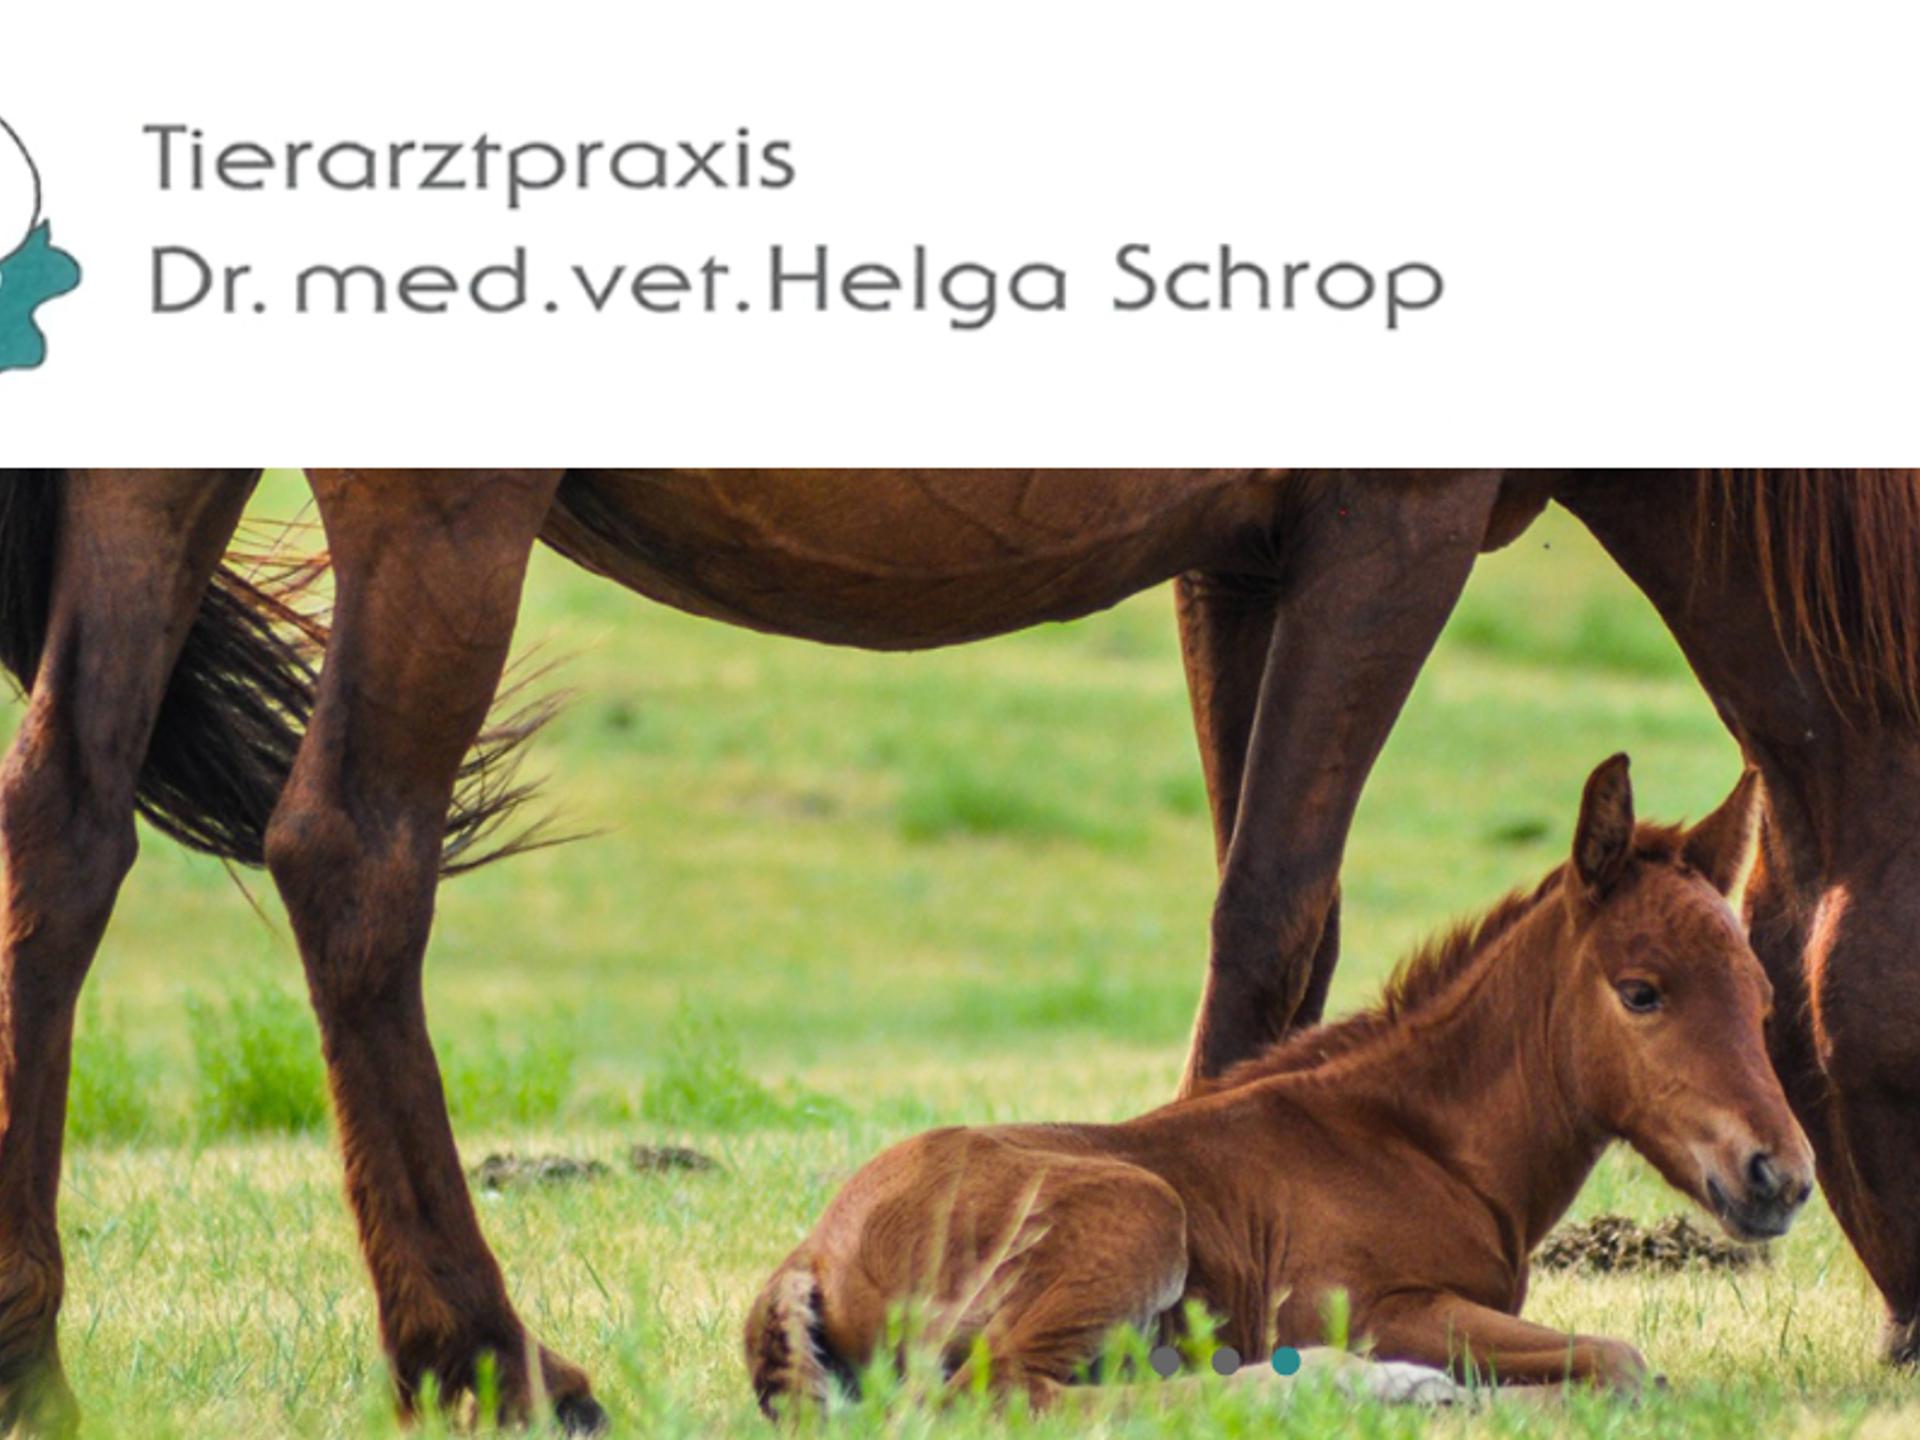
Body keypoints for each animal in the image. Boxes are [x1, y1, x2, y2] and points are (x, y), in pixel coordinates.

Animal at [743, 755, 1814, 1412]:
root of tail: (812, 1253)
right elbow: (1621, 1361)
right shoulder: (1366, 1303)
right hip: (1135, 1214)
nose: (1782, 1177)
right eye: (1640, 992)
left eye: (1764, 995)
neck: (1422, 1143)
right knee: (1018, 1394)